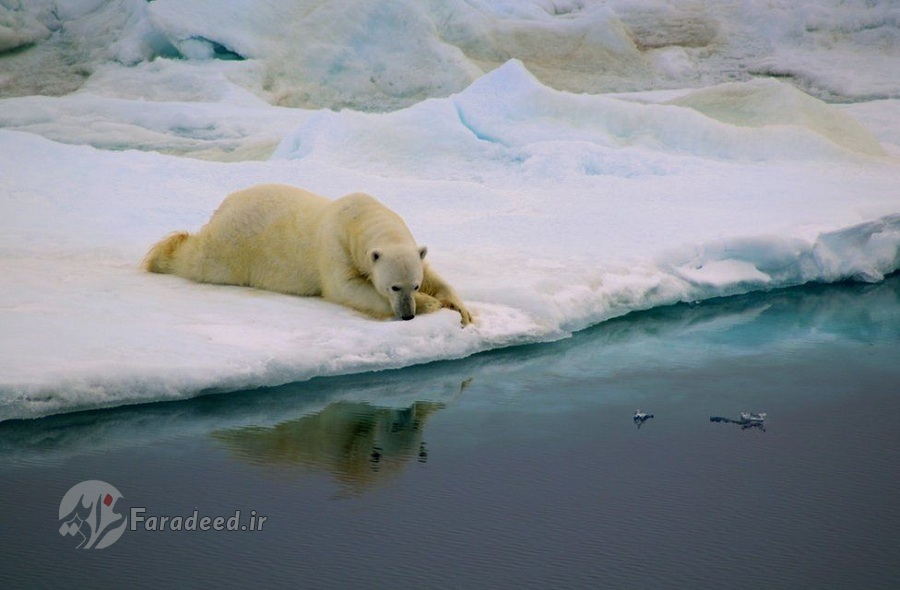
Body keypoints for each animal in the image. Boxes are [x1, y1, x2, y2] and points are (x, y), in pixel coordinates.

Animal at [142, 184, 472, 326]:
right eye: (393, 287)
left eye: (412, 285)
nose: (407, 315)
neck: (359, 218)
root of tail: (225, 205)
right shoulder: (334, 246)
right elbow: (346, 288)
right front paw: (431, 304)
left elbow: (433, 273)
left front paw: (460, 308)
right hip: (233, 246)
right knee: (198, 258)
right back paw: (160, 256)